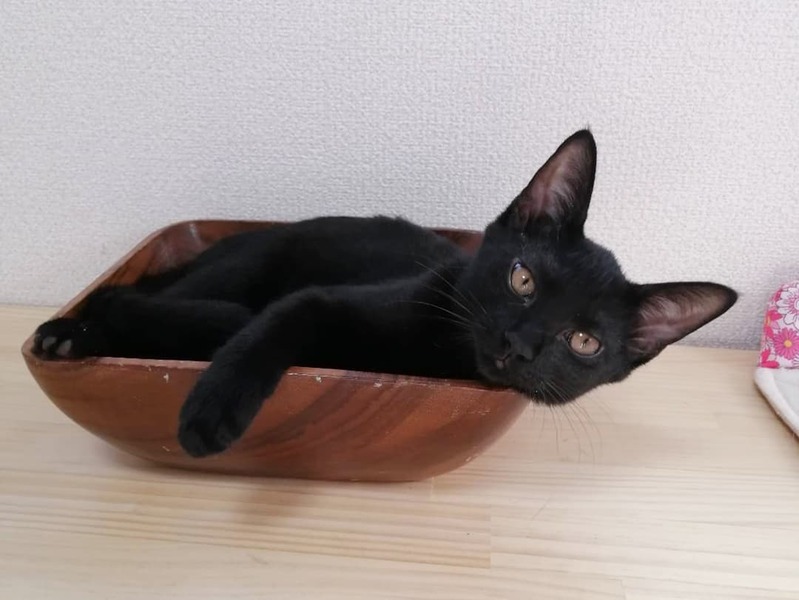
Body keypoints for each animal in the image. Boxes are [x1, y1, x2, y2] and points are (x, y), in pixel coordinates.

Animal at [32, 129, 738, 458]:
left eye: (584, 342)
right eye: (523, 279)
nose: (519, 346)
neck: (446, 354)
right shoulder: (323, 300)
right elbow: (276, 321)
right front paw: (213, 408)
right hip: (245, 264)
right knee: (162, 299)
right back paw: (71, 331)